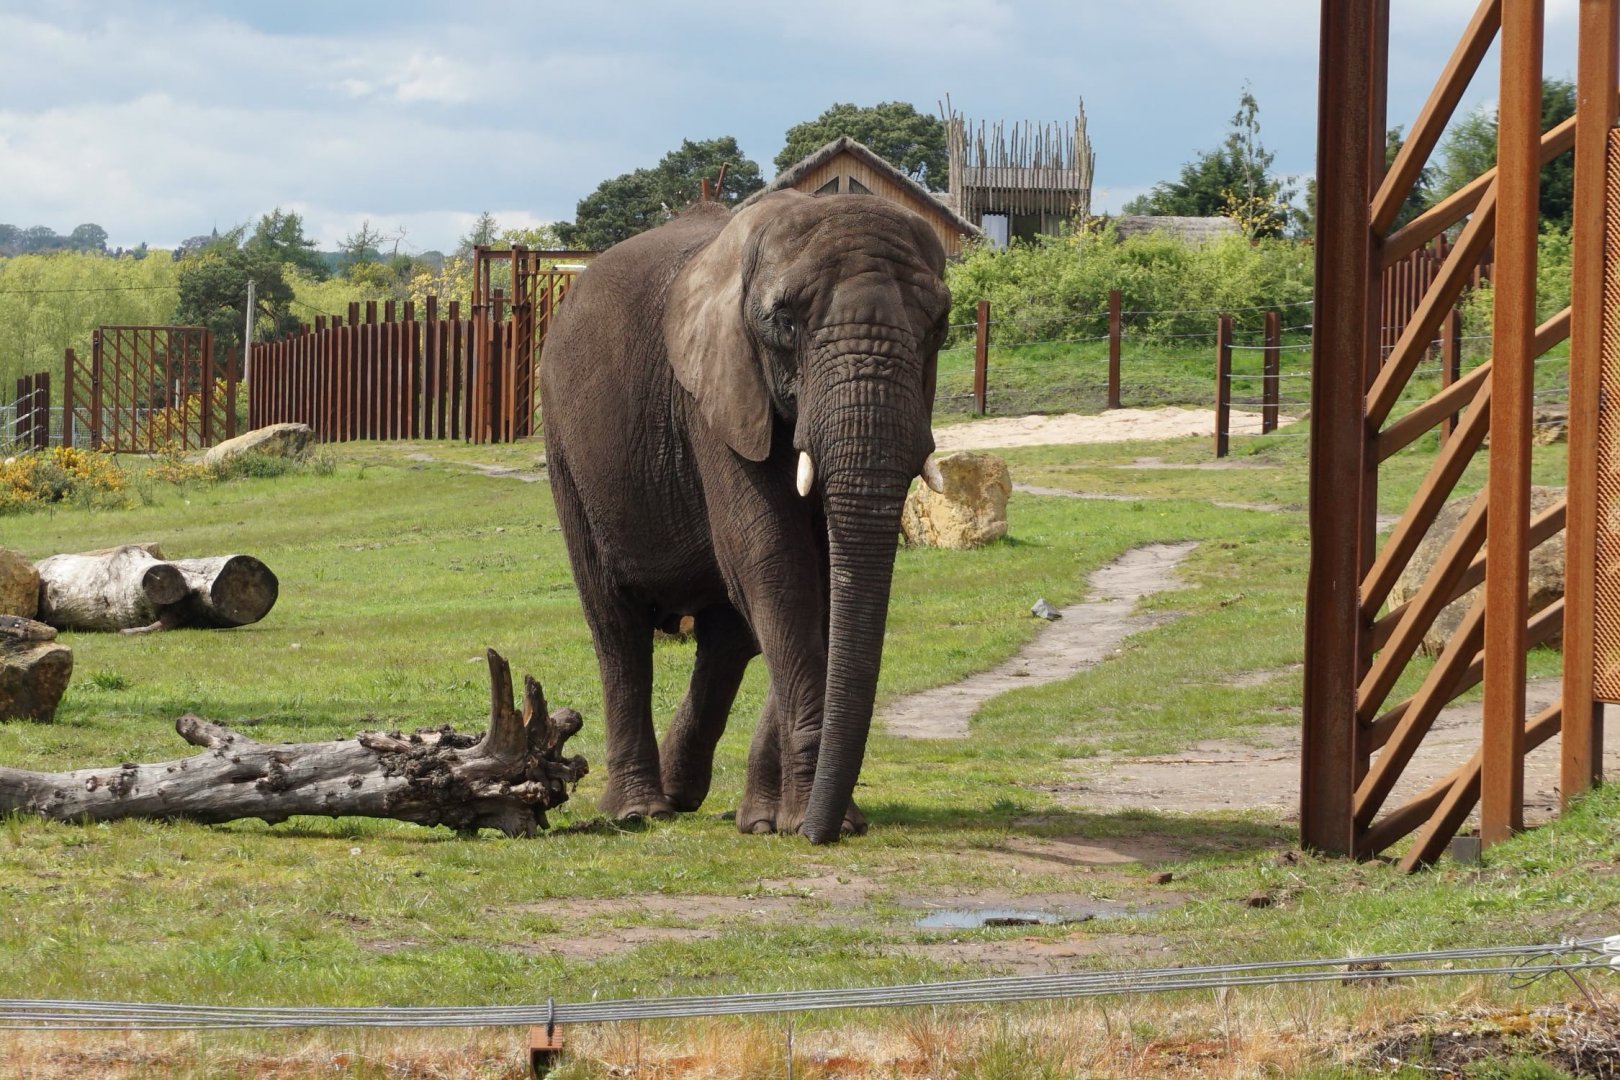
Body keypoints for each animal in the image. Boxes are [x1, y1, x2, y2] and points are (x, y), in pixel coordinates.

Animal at [539, 189, 950, 843]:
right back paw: (642, 811)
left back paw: (685, 794)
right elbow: (775, 564)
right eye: (784, 322)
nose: (824, 833)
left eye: (940, 325)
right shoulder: (714, 398)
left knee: (726, 637)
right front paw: (804, 820)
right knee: (617, 626)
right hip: (566, 451)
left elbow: (818, 583)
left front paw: (776, 822)